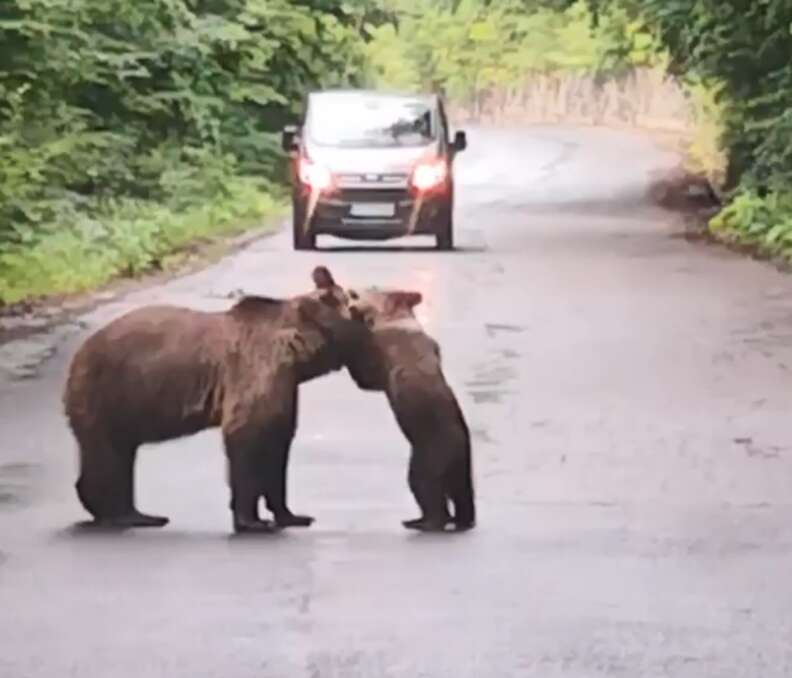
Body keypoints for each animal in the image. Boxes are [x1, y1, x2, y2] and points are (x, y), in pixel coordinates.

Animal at [63, 268, 364, 532]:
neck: (296, 352)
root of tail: (78, 354)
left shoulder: (285, 385)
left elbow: (278, 445)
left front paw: (292, 515)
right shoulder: (255, 370)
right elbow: (246, 435)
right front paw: (252, 521)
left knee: (121, 454)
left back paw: (139, 514)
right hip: (107, 392)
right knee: (107, 455)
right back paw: (118, 514)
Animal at [344, 290, 474, 532]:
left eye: (370, 289)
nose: (351, 293)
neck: (395, 317)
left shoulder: (380, 352)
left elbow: (366, 375)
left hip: (427, 462)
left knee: (429, 494)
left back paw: (425, 523)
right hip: (460, 471)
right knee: (461, 496)